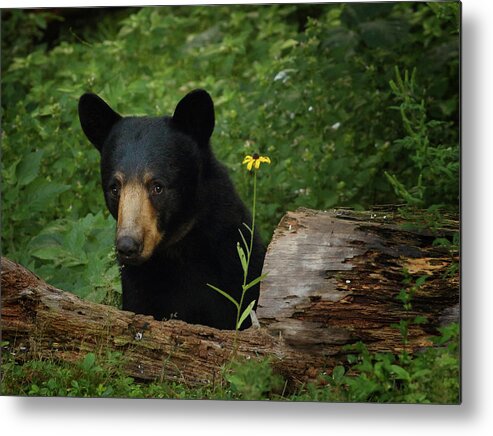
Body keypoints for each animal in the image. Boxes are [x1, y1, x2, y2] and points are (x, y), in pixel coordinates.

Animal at [79, 89, 266, 330]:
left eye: (157, 186)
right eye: (114, 188)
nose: (128, 246)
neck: (176, 252)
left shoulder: (233, 272)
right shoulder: (138, 289)